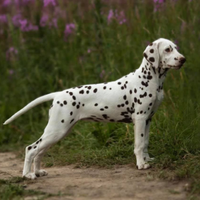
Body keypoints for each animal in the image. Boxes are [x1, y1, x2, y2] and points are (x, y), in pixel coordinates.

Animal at [3, 38, 186, 180]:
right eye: (168, 49)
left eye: (176, 47)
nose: (183, 59)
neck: (151, 80)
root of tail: (58, 94)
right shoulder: (140, 118)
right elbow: (139, 144)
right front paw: (141, 164)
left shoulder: (148, 119)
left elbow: (146, 142)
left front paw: (147, 160)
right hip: (56, 130)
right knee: (31, 149)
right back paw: (27, 175)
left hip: (59, 132)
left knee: (39, 152)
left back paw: (38, 172)